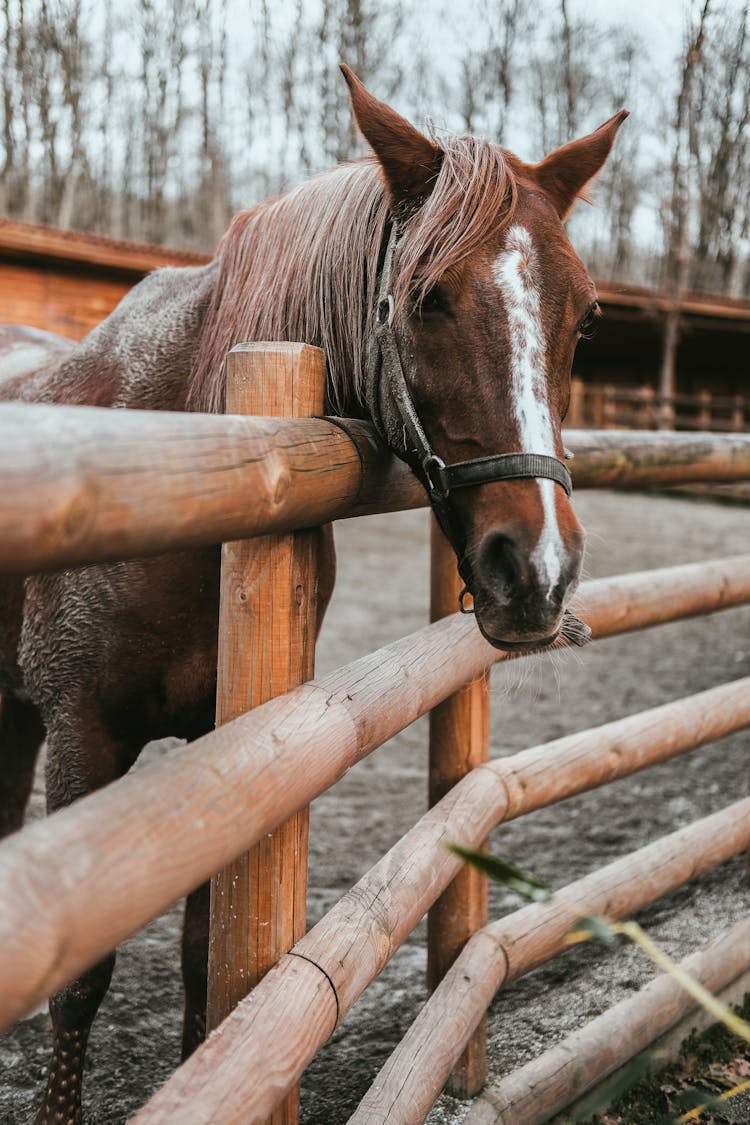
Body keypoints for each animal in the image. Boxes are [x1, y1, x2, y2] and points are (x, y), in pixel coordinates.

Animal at [0, 65, 629, 1120]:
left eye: (584, 316)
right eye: (426, 298)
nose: (536, 571)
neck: (186, 449)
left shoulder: (223, 750)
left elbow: (203, 957)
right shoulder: (83, 730)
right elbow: (79, 978)